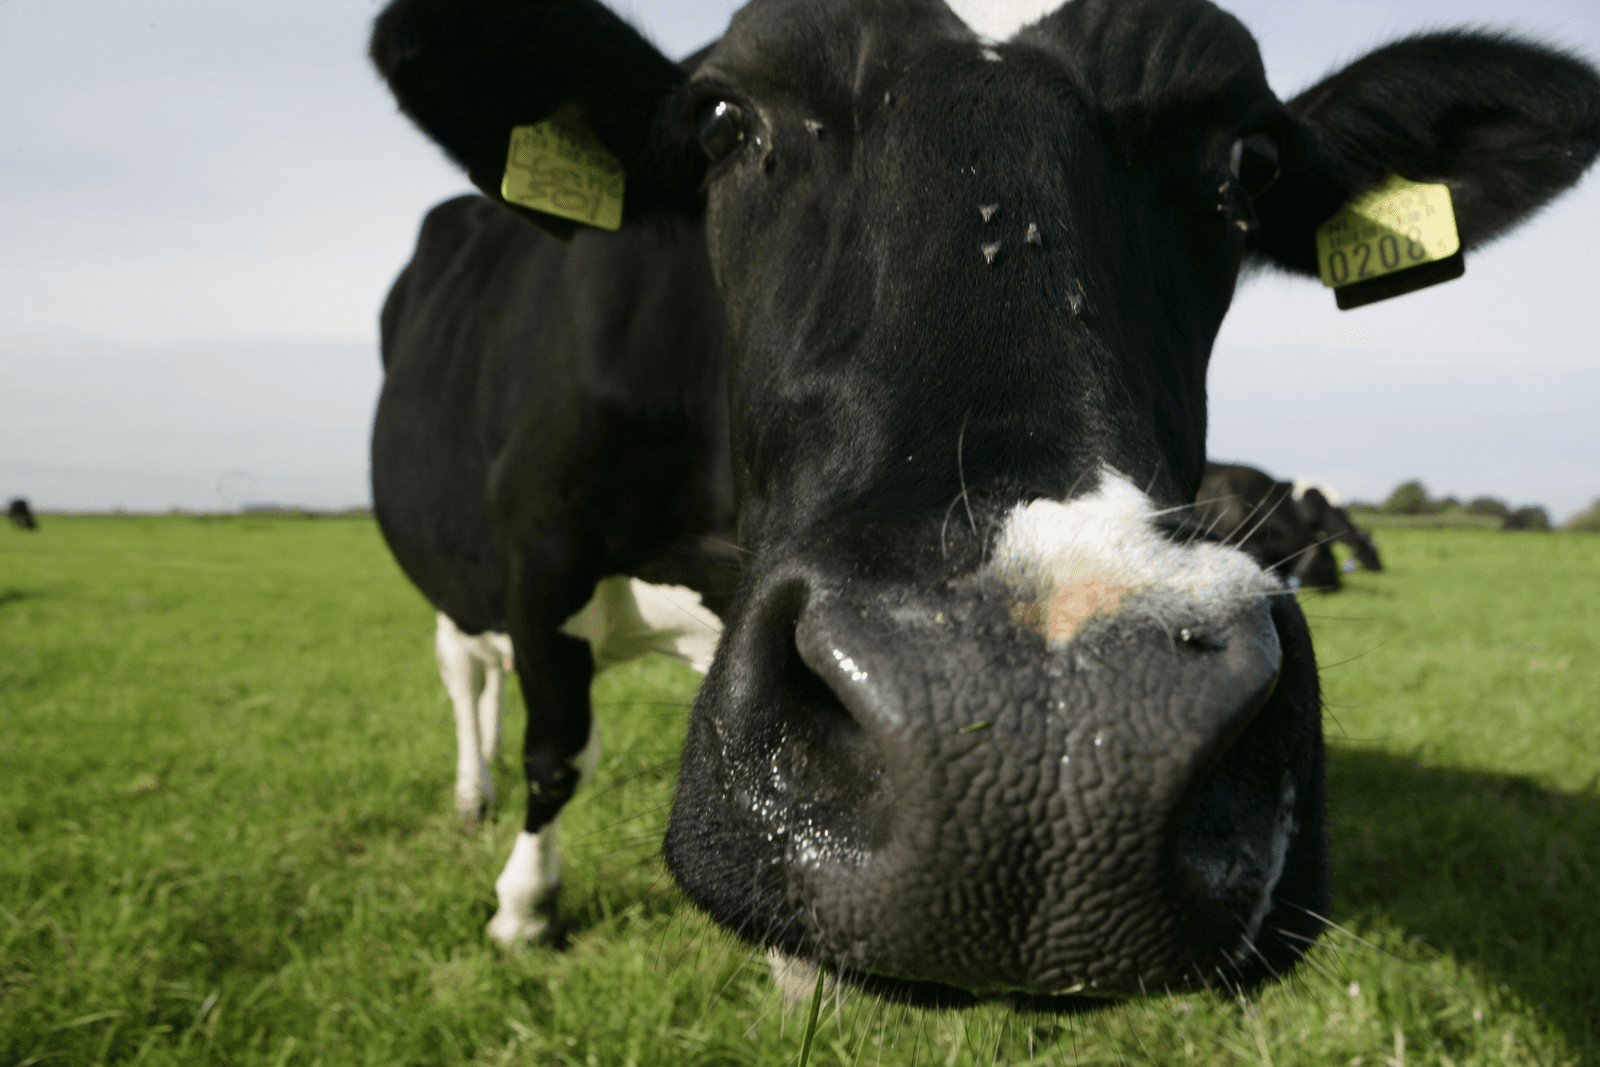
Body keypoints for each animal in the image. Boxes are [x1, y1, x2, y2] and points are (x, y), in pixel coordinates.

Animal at [369, 0, 1599, 1011]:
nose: (1043, 734)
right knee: (466, 670)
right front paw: (522, 910)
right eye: (721, 120)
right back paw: (473, 788)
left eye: (1247, 162)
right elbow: (556, 750)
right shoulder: (539, 546)